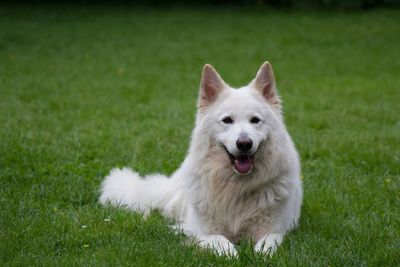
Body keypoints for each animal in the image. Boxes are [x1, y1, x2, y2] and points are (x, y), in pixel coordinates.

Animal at [100, 61, 304, 256]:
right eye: (227, 120)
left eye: (255, 120)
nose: (244, 143)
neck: (236, 188)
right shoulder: (203, 232)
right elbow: (222, 243)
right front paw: (233, 254)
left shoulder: (275, 230)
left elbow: (268, 244)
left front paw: (259, 254)